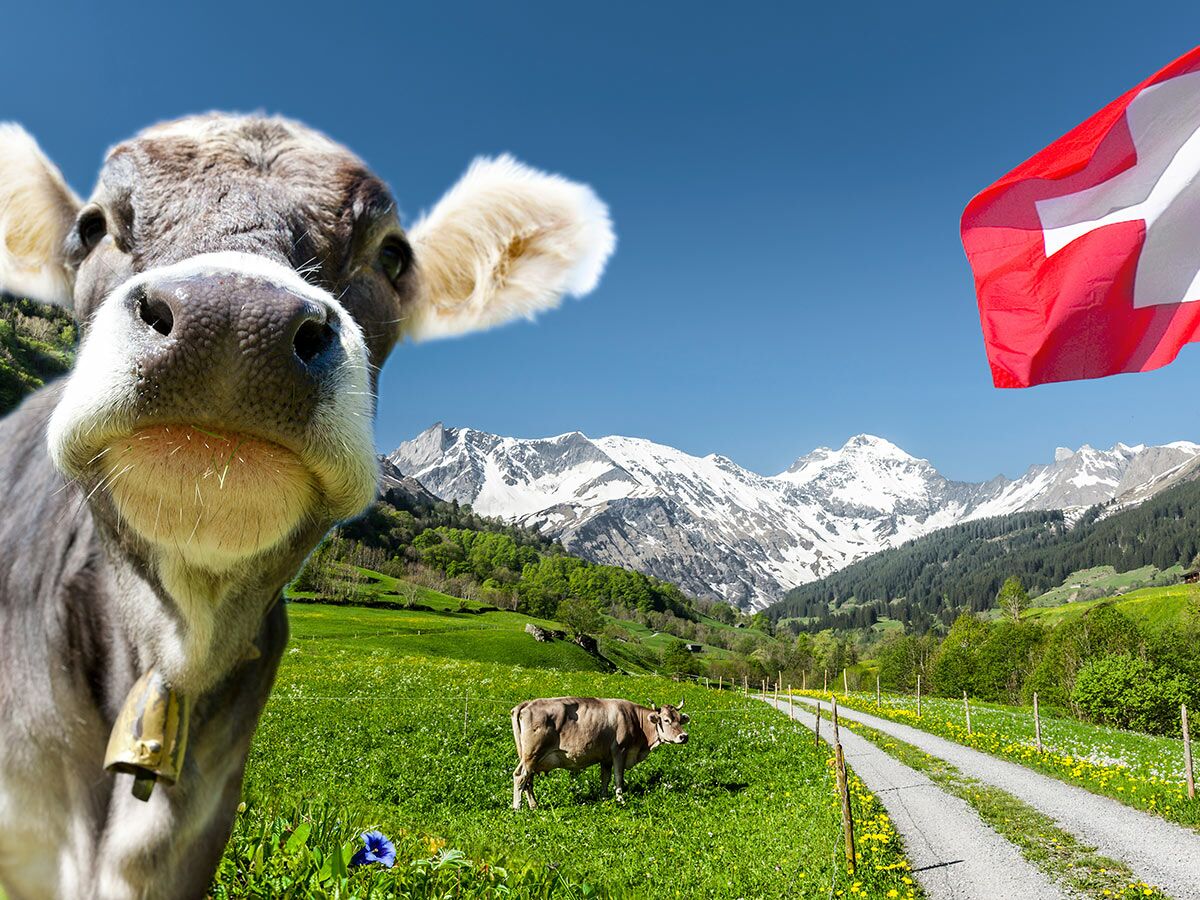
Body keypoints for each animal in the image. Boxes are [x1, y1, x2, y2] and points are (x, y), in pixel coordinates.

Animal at [510, 697, 690, 809]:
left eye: (680, 719)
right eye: (666, 720)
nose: (684, 736)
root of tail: (527, 704)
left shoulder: (606, 757)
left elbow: (605, 778)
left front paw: (604, 798)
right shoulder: (620, 751)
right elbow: (618, 777)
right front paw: (620, 799)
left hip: (529, 757)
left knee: (528, 781)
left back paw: (534, 805)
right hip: (533, 754)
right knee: (520, 776)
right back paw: (517, 807)